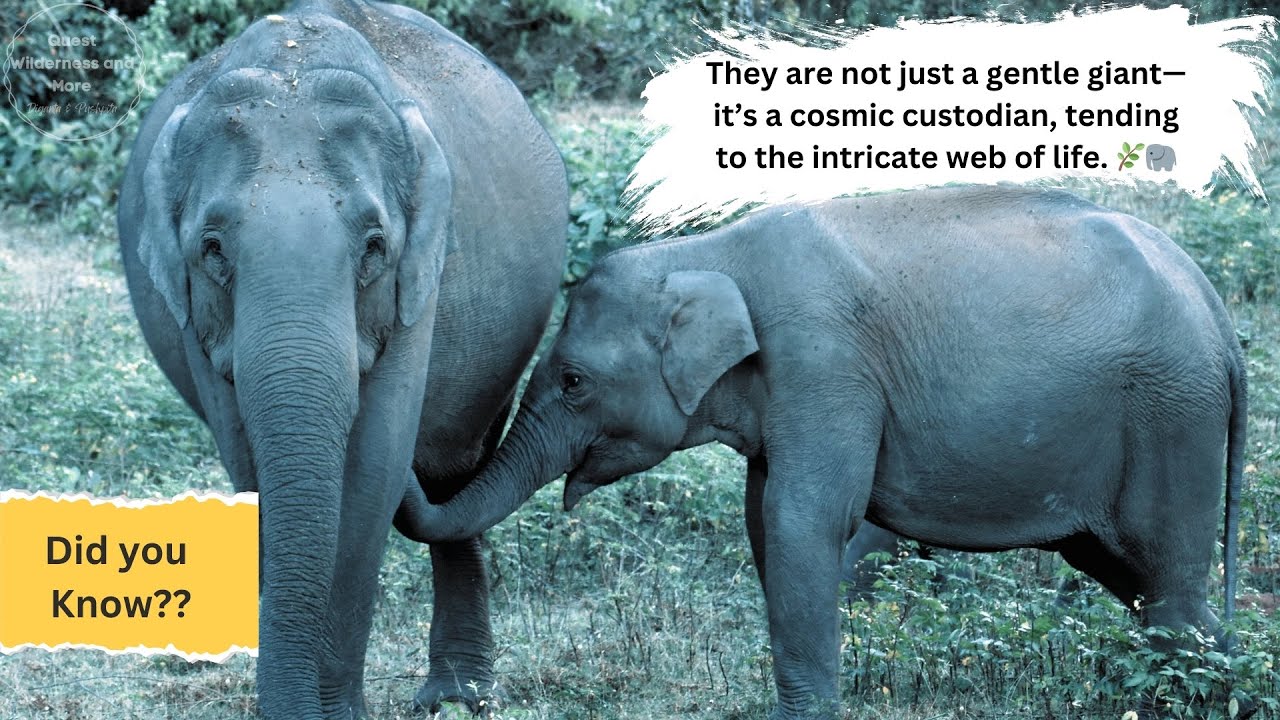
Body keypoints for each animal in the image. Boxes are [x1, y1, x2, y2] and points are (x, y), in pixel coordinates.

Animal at [116, 1, 566, 717]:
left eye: (374, 246)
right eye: (212, 249)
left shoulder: (418, 284)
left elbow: (376, 465)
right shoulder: (192, 310)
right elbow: (250, 464)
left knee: (457, 474)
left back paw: (460, 697)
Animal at [398, 186, 1249, 719]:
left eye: (574, 381)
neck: (712, 251)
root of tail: (1215, 305)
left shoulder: (824, 365)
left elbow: (802, 522)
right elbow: (763, 525)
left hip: (1174, 415)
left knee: (1165, 575)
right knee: (1134, 580)